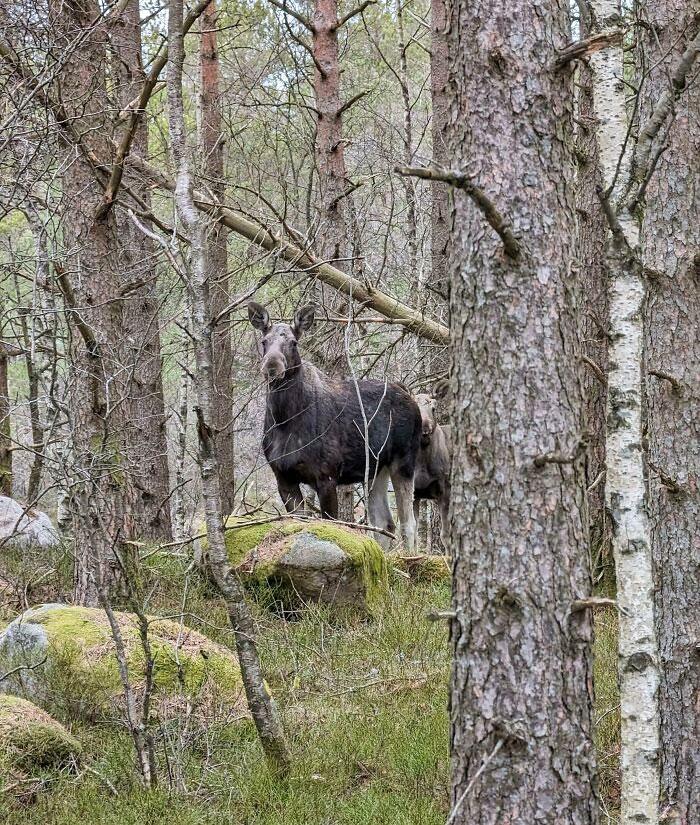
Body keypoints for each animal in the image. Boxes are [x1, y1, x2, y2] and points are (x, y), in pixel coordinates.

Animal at [247, 300, 422, 552]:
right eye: (264, 341)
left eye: (294, 342)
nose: (272, 366)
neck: (284, 421)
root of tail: (406, 391)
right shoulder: (284, 478)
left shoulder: (327, 477)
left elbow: (332, 523)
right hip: (377, 467)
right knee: (384, 522)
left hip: (404, 461)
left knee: (409, 523)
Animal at [412, 384, 452, 544]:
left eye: (433, 408)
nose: (425, 427)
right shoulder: (414, 492)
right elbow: (412, 531)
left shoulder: (445, 490)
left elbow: (445, 534)